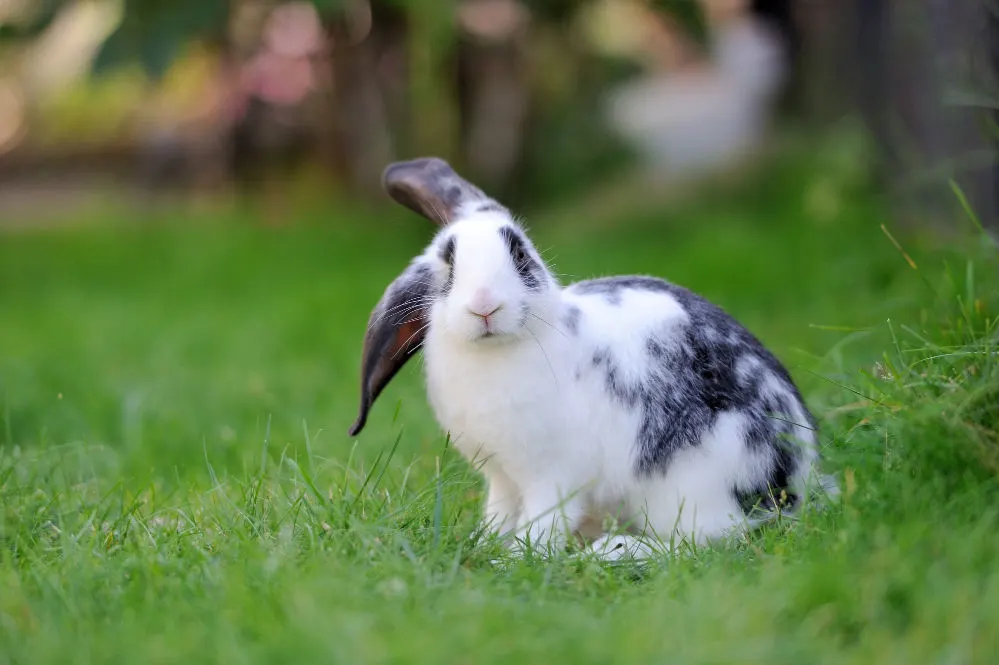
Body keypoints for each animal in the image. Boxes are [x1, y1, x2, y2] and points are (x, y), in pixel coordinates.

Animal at [348, 156, 840, 560]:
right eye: (447, 264)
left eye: (521, 254)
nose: (484, 305)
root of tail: (797, 486)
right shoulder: (502, 479)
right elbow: (498, 517)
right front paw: (480, 547)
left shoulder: (553, 478)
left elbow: (542, 525)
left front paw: (513, 562)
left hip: (693, 482)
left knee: (704, 541)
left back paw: (612, 551)